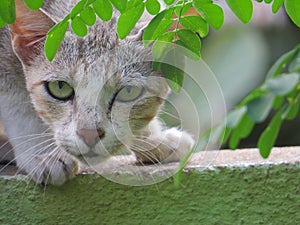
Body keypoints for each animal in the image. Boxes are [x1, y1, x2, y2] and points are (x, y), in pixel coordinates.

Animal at [0, 0, 195, 185]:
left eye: (128, 91)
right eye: (60, 87)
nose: (90, 134)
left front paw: (154, 139)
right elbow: (20, 106)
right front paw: (45, 154)